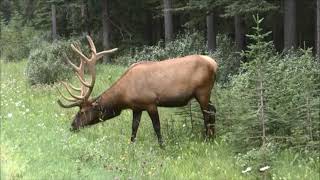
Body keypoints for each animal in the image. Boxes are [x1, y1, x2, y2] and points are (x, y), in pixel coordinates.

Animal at [57, 35, 218, 146]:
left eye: (82, 112)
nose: (72, 126)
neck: (124, 96)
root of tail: (215, 64)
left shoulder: (150, 103)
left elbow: (157, 127)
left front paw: (162, 146)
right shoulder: (137, 107)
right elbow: (134, 128)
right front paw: (132, 145)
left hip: (203, 91)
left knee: (207, 114)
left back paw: (207, 139)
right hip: (206, 92)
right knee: (213, 110)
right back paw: (213, 138)